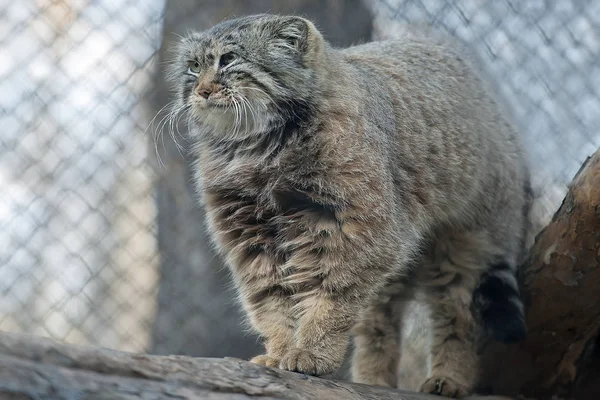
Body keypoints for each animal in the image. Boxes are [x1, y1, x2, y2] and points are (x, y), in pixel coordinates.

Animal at [165, 13, 528, 396]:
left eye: (229, 60)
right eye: (193, 67)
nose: (201, 91)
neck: (257, 151)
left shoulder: (359, 232)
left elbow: (330, 298)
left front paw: (312, 352)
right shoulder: (252, 243)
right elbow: (273, 305)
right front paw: (280, 352)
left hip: (462, 247)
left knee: (457, 317)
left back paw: (449, 378)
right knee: (378, 324)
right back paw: (372, 378)